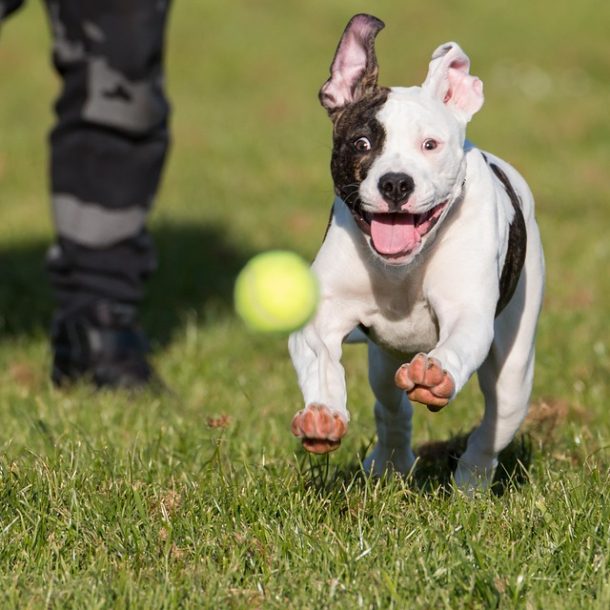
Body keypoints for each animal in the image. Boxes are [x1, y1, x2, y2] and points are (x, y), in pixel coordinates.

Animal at [288, 14, 544, 490]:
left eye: (430, 145)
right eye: (362, 144)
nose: (395, 183)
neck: (401, 270)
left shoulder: (468, 312)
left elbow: (458, 340)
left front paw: (435, 373)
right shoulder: (322, 316)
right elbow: (319, 357)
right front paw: (323, 413)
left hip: (515, 368)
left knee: (496, 423)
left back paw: (471, 482)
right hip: (383, 360)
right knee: (391, 407)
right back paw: (390, 462)